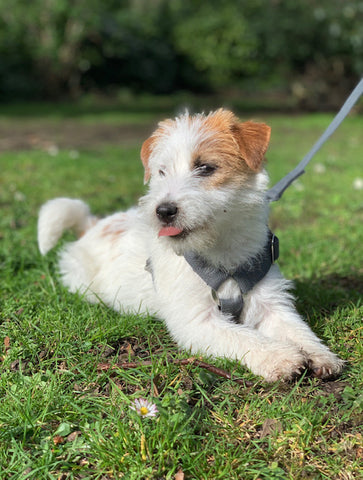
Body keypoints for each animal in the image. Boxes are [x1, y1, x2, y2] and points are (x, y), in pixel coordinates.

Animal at [38, 109, 346, 382]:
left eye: (205, 168)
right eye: (161, 172)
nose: (163, 211)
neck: (221, 251)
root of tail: (93, 224)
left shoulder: (272, 304)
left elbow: (297, 329)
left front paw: (320, 355)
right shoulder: (198, 321)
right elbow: (242, 336)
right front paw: (280, 357)